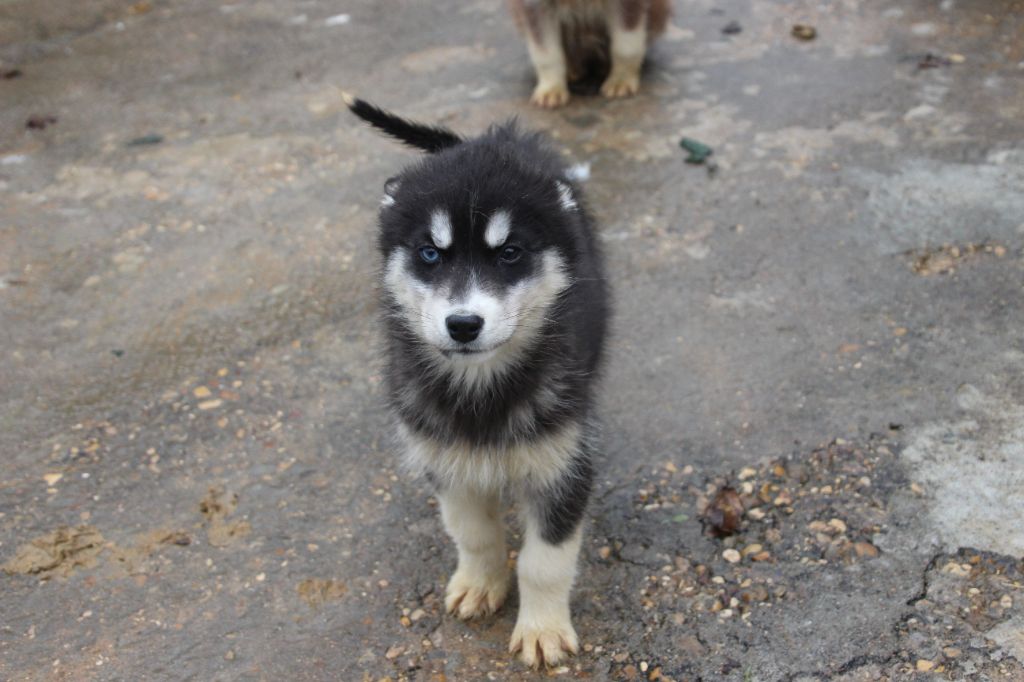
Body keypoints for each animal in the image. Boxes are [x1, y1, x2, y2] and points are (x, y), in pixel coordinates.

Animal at [348, 98, 610, 667]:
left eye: (509, 253)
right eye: (429, 253)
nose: (464, 324)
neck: (480, 386)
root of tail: (499, 137)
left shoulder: (565, 462)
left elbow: (544, 561)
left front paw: (541, 629)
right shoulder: (445, 457)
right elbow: (473, 533)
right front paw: (480, 582)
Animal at [505, 0, 667, 106]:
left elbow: (625, 45)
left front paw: (620, 81)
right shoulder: (534, 6)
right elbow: (546, 53)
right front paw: (551, 89)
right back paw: (572, 70)